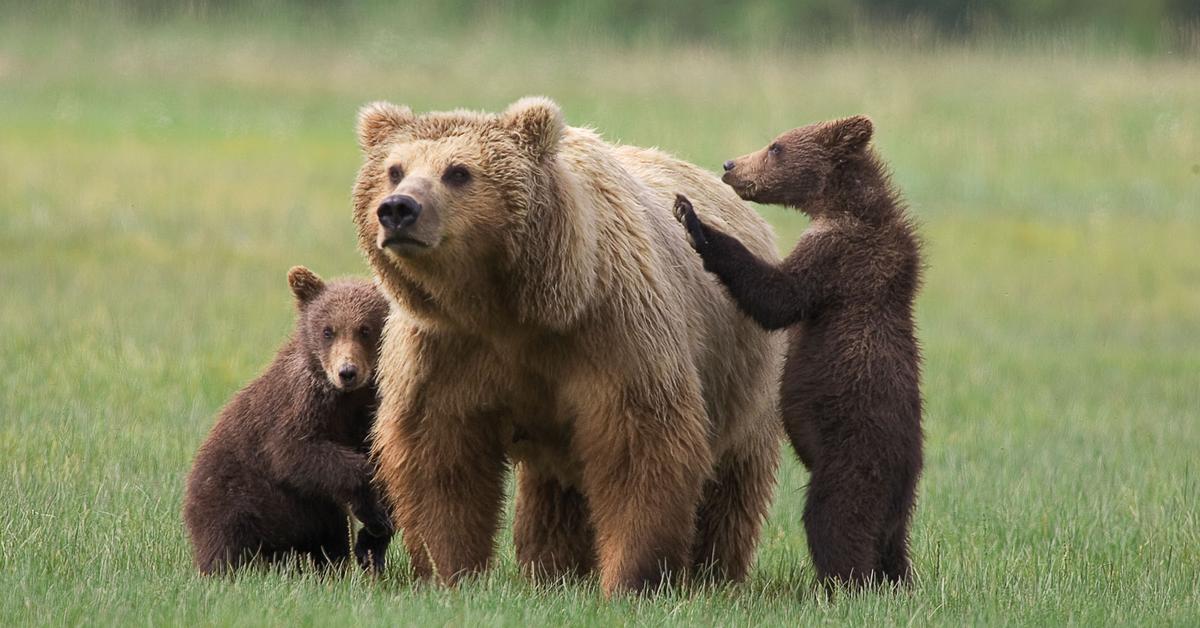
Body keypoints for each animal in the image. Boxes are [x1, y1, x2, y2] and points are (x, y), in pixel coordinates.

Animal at [181, 265, 393, 573]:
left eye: (365, 329)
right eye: (328, 330)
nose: (347, 372)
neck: (346, 398)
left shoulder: (370, 412)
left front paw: (374, 538)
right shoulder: (298, 406)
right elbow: (294, 450)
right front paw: (372, 510)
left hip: (311, 514)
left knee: (331, 536)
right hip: (234, 497)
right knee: (227, 540)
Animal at [350, 97, 782, 595]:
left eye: (458, 171)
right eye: (394, 169)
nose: (399, 209)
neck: (509, 308)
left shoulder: (612, 331)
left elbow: (638, 449)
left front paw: (631, 577)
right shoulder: (444, 348)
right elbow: (441, 459)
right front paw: (450, 572)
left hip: (744, 378)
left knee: (731, 484)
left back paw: (714, 573)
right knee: (555, 495)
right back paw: (554, 570)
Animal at [676, 116, 926, 590]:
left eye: (776, 147)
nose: (731, 165)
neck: (842, 207)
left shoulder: (838, 260)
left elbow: (777, 296)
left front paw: (694, 220)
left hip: (853, 457)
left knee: (835, 522)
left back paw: (839, 585)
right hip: (899, 498)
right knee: (893, 546)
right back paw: (897, 582)